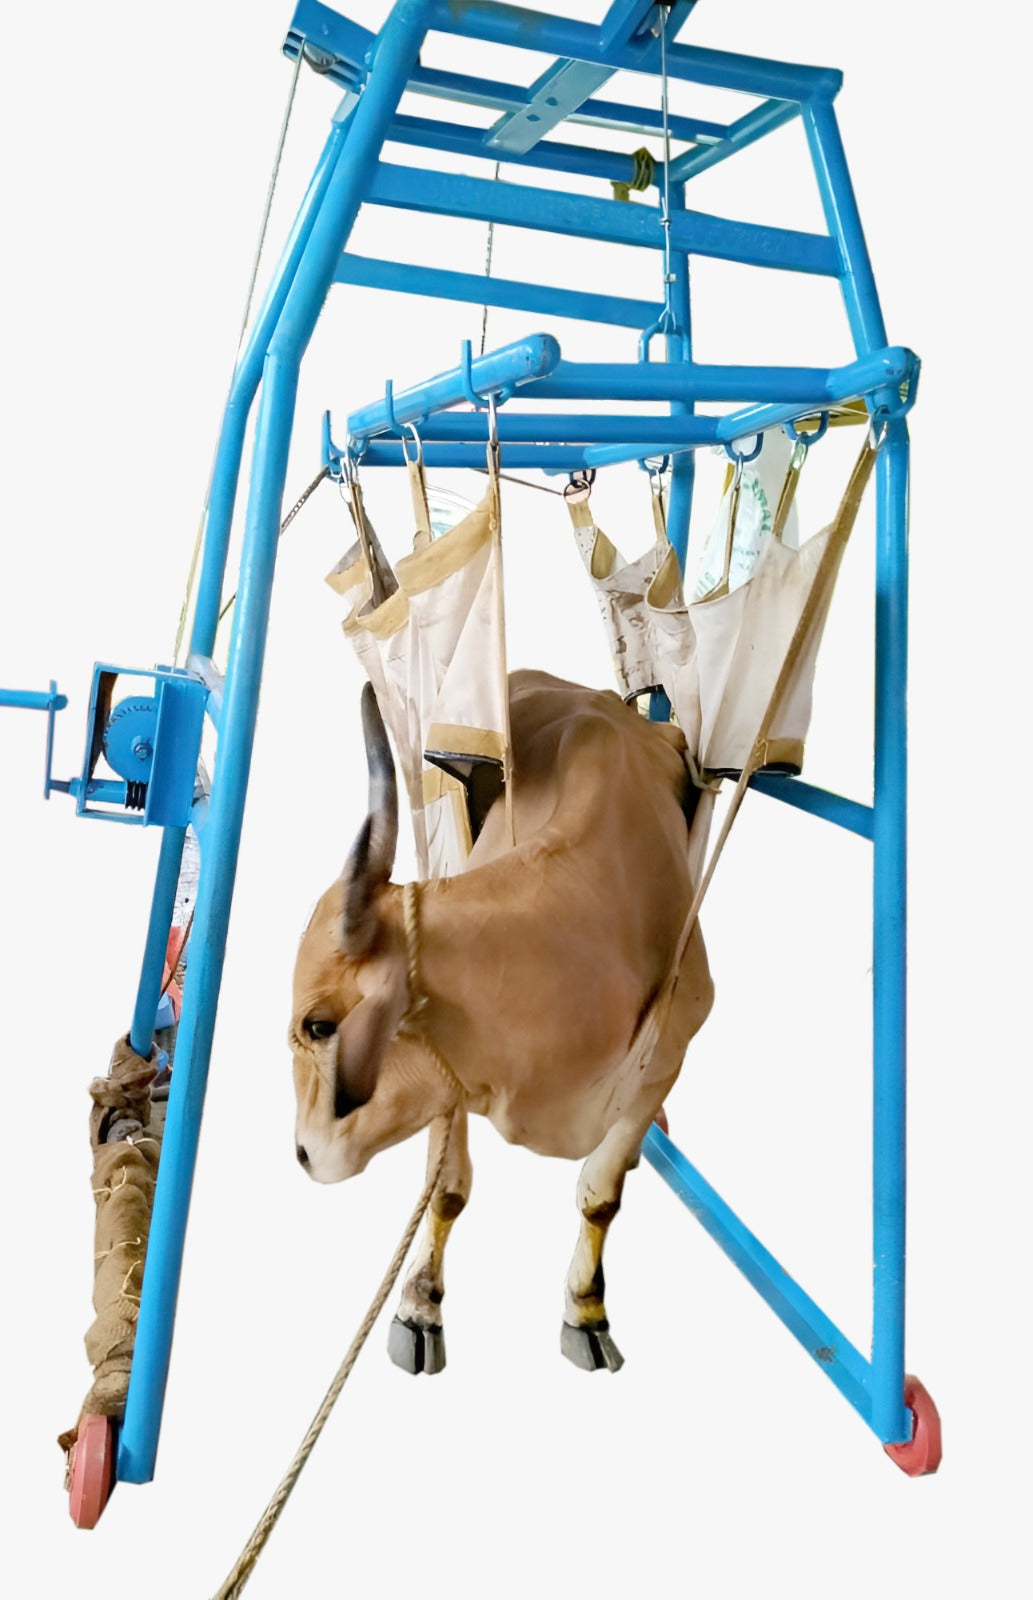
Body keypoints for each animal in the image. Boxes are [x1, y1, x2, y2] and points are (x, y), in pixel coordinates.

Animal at [289, 669, 714, 1374]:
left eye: (317, 1027)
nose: (303, 1154)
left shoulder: (665, 1062)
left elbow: (601, 1195)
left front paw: (586, 1313)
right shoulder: (451, 1076)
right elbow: (447, 1190)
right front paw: (419, 1309)